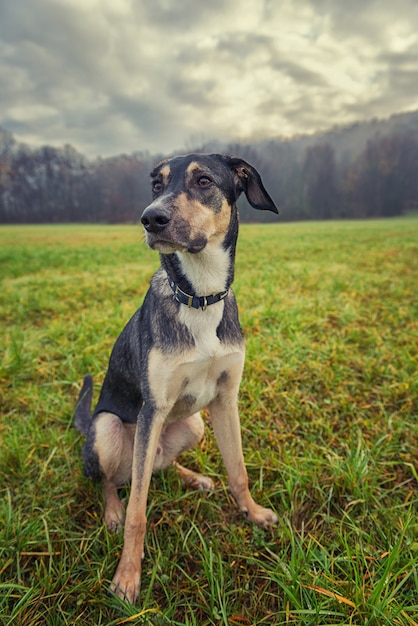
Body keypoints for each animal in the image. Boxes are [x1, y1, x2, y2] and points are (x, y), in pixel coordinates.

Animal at [74, 151, 280, 600]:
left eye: (203, 181)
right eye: (156, 185)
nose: (151, 218)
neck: (199, 296)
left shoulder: (225, 399)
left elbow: (238, 471)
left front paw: (253, 513)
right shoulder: (153, 408)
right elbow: (139, 509)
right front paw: (127, 577)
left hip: (193, 425)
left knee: (156, 466)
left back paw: (194, 478)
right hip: (108, 428)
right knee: (115, 480)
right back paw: (112, 511)